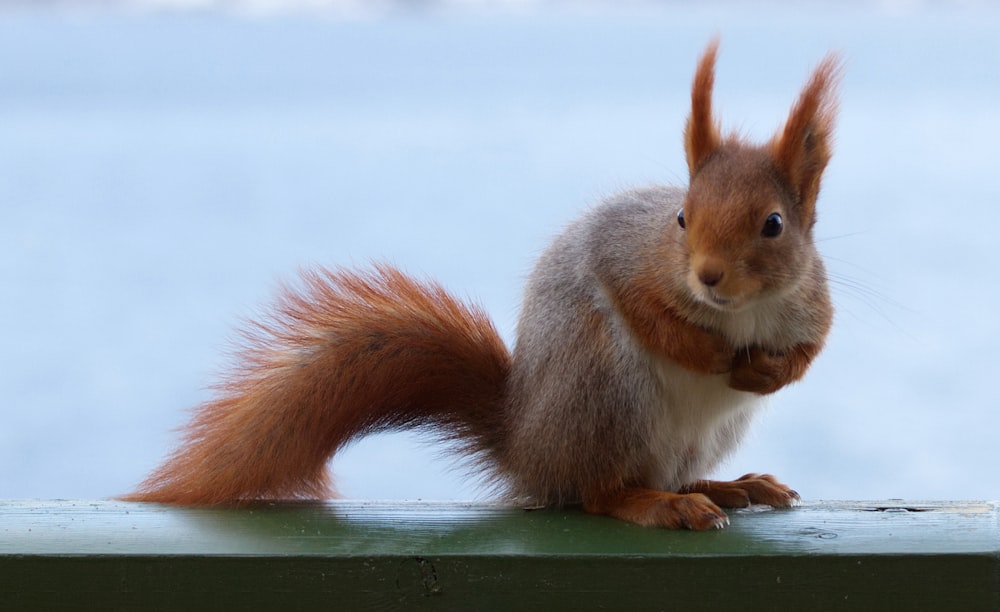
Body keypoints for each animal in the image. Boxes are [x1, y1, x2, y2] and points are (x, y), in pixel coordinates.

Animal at [125, 41, 844, 532]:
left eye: (774, 225)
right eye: (681, 218)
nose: (708, 275)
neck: (737, 310)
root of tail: (526, 444)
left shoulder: (810, 302)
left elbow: (811, 351)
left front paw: (766, 371)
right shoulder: (626, 255)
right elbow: (641, 307)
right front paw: (709, 353)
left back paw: (727, 487)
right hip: (603, 393)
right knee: (596, 493)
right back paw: (661, 503)